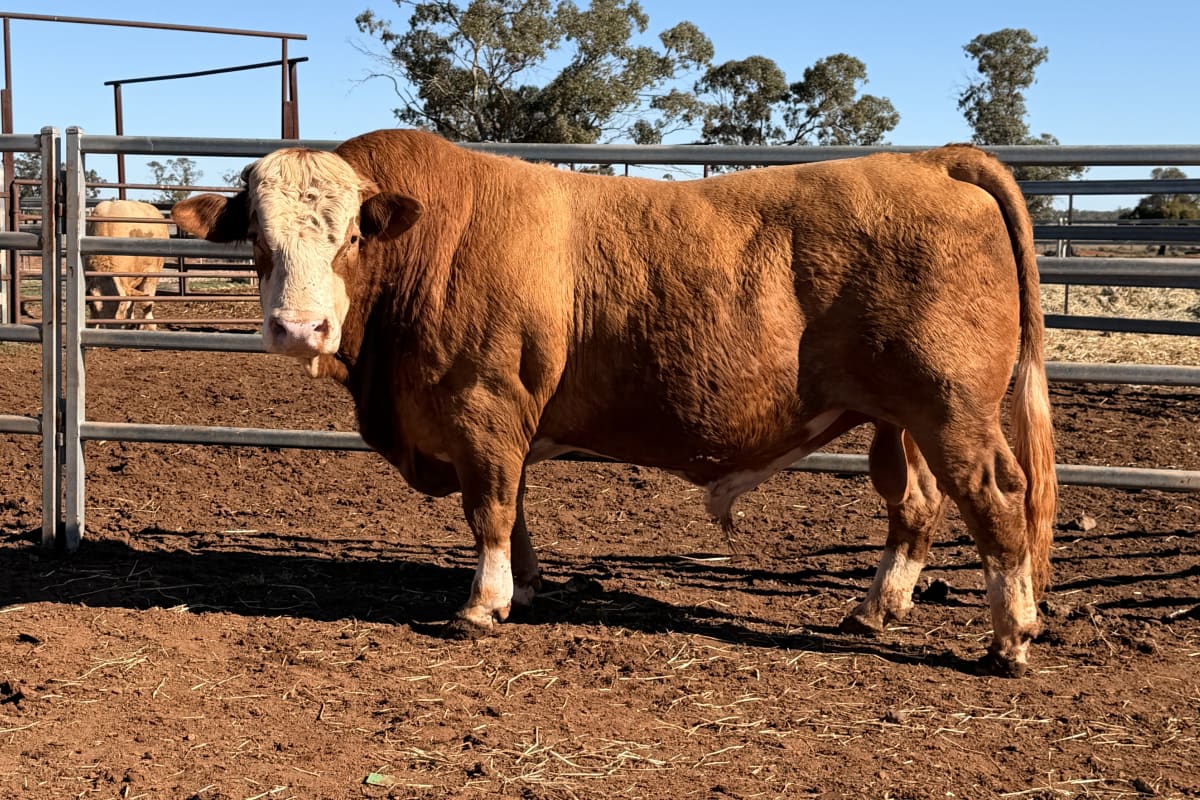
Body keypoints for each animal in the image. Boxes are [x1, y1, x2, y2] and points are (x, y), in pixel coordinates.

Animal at [172, 130, 1057, 677]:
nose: (299, 328)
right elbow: (514, 510)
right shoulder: (501, 423)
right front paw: (525, 588)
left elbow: (489, 508)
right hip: (898, 420)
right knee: (916, 504)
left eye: (351, 236)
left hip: (953, 409)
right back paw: (876, 610)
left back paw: (1011, 638)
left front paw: (482, 605)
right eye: (257, 242)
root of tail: (933, 159)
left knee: (997, 500)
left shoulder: (482, 407)